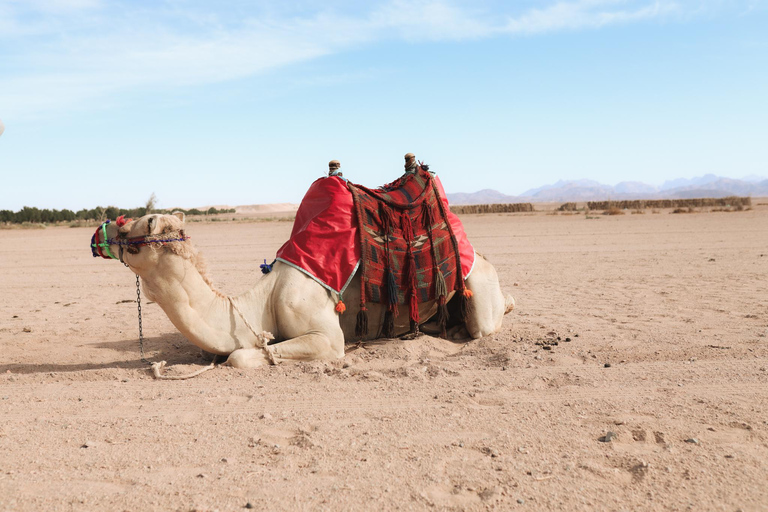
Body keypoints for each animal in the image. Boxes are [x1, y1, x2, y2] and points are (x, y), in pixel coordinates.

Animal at [97, 213, 516, 368]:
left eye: (132, 231)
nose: (102, 231)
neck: (259, 305)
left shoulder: (326, 337)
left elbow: (239, 357)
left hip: (478, 283)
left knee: (487, 320)